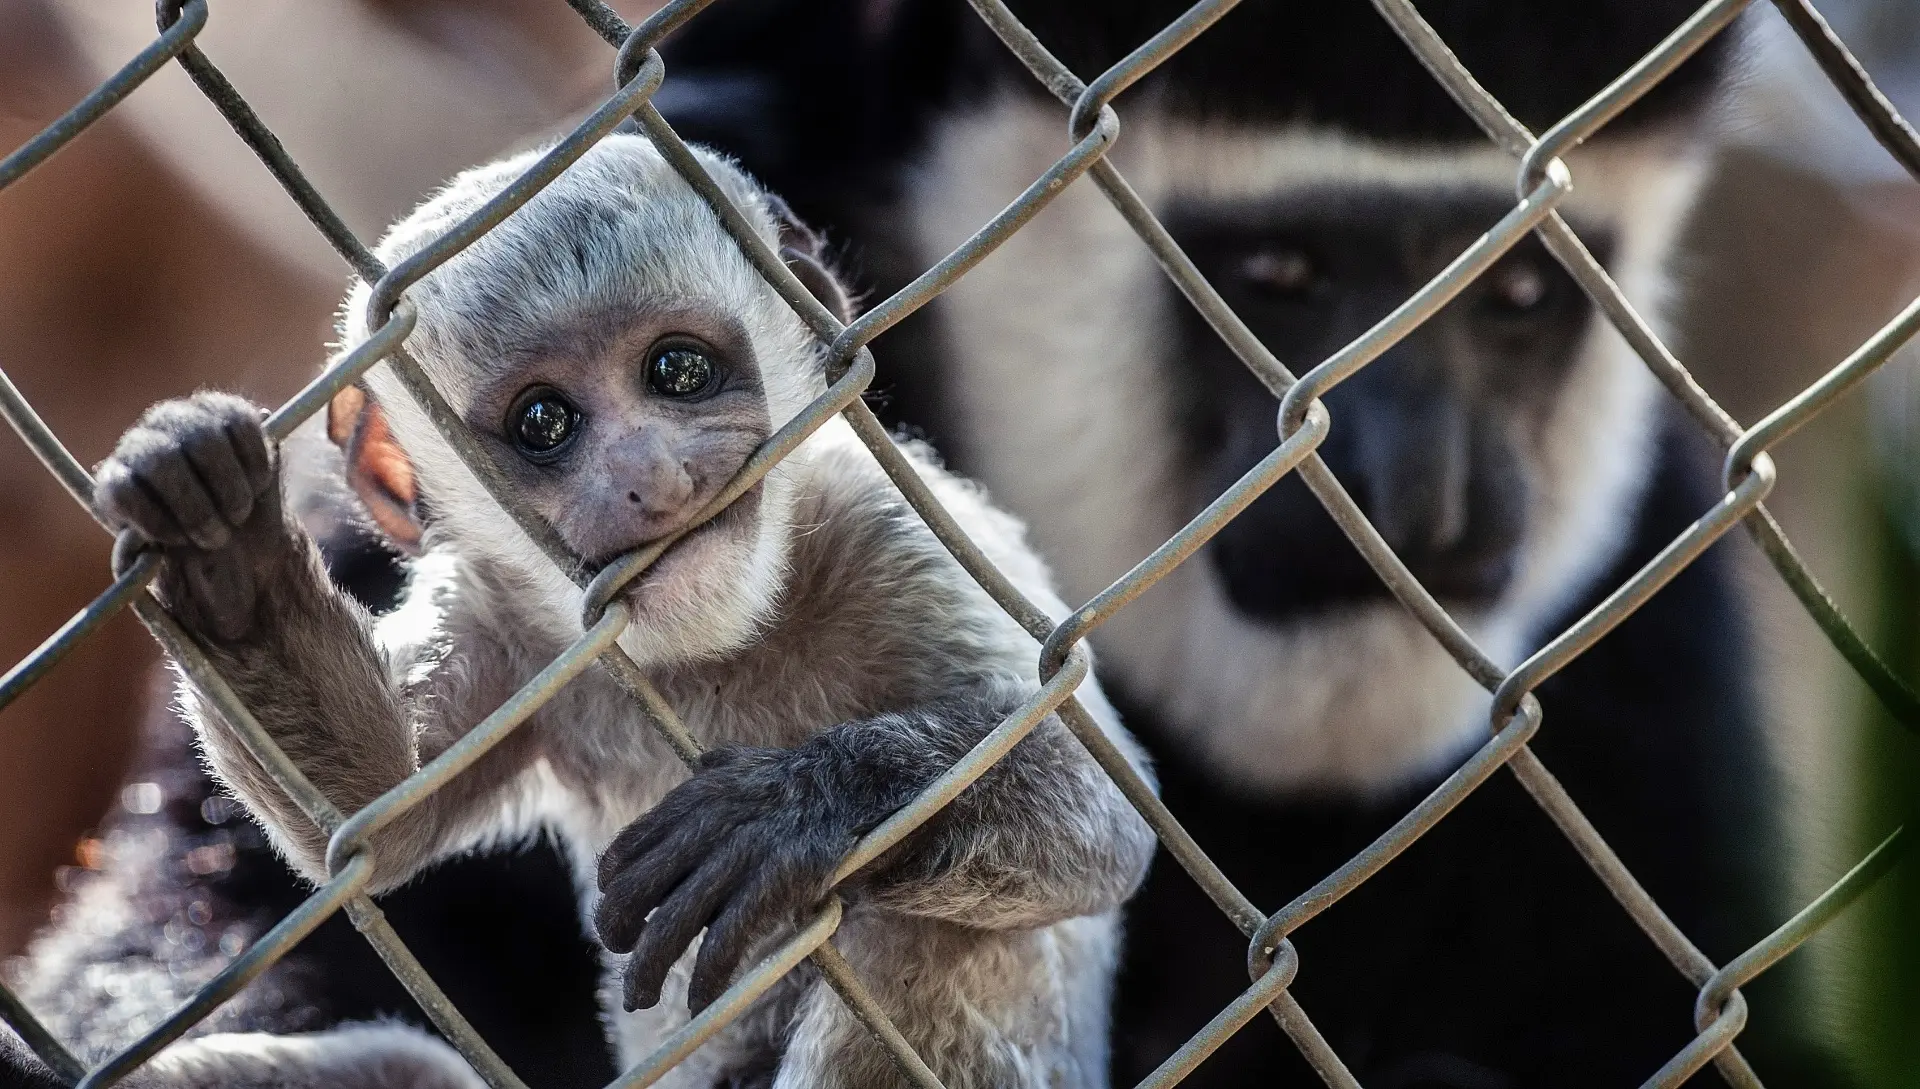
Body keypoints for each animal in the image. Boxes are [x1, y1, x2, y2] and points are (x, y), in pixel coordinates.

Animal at [93, 136, 1152, 1089]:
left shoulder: (881, 525)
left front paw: (792, 806)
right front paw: (222, 548)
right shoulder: (504, 618)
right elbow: (371, 813)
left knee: (919, 935)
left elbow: (1103, 808)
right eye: (544, 423)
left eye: (678, 371)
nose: (652, 474)